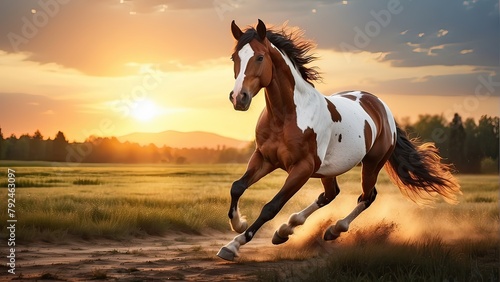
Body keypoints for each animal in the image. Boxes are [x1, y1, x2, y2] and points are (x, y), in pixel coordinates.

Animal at [217, 19, 462, 262]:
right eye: (234, 58)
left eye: (259, 57)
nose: (239, 98)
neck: (286, 116)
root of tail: (382, 108)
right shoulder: (264, 158)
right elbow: (237, 186)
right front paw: (238, 225)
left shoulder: (302, 168)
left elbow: (271, 206)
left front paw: (233, 245)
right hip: (329, 170)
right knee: (330, 194)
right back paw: (284, 231)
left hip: (372, 164)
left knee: (367, 196)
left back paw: (334, 230)